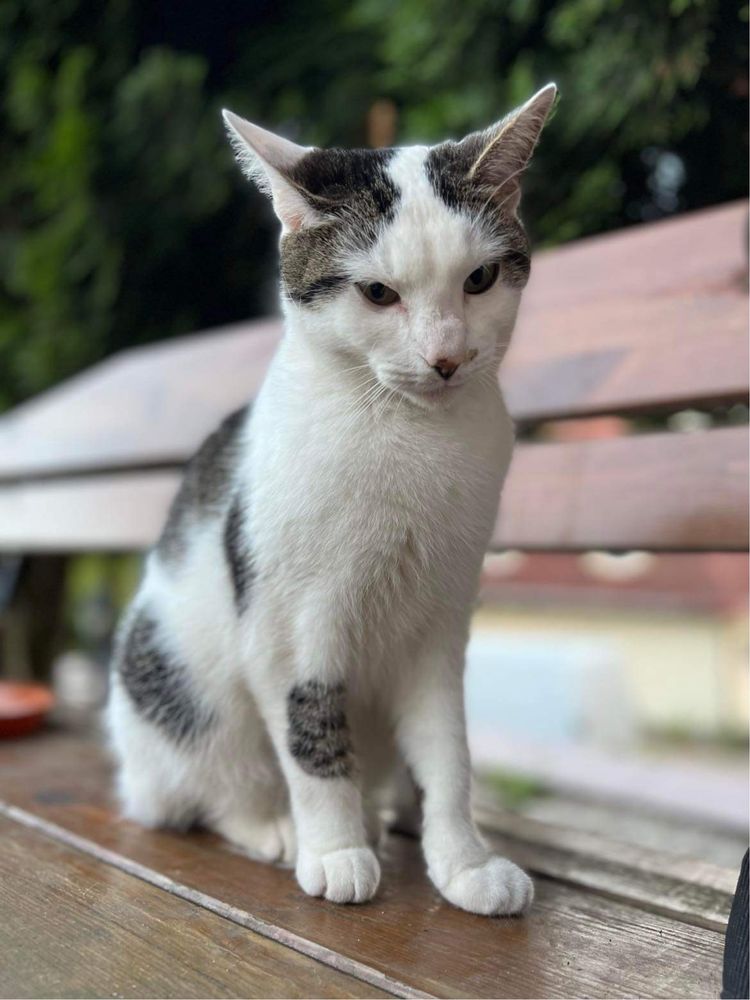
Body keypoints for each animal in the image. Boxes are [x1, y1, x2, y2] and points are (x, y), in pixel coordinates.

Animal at [110, 84, 560, 916]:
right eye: (378, 293)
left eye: (479, 280)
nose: (447, 359)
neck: (408, 433)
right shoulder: (287, 625)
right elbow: (310, 729)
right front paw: (335, 848)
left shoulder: (441, 621)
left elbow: (449, 752)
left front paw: (465, 862)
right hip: (176, 685)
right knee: (195, 796)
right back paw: (275, 828)